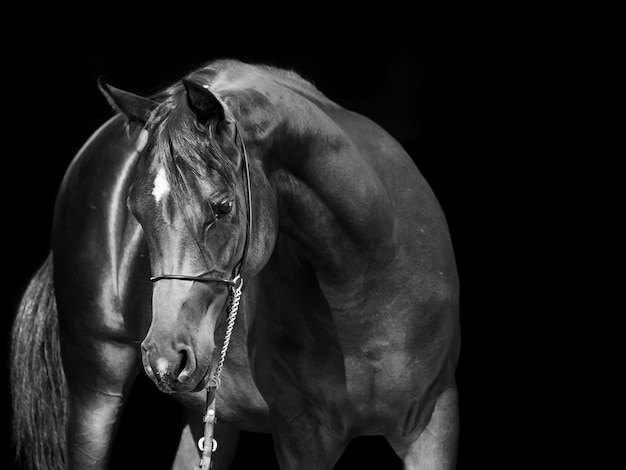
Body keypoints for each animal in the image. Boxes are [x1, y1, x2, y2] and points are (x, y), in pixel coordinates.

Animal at [9, 58, 458, 470]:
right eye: (135, 211)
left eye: (222, 207)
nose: (164, 358)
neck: (367, 280)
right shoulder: (303, 434)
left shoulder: (435, 423)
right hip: (96, 391)